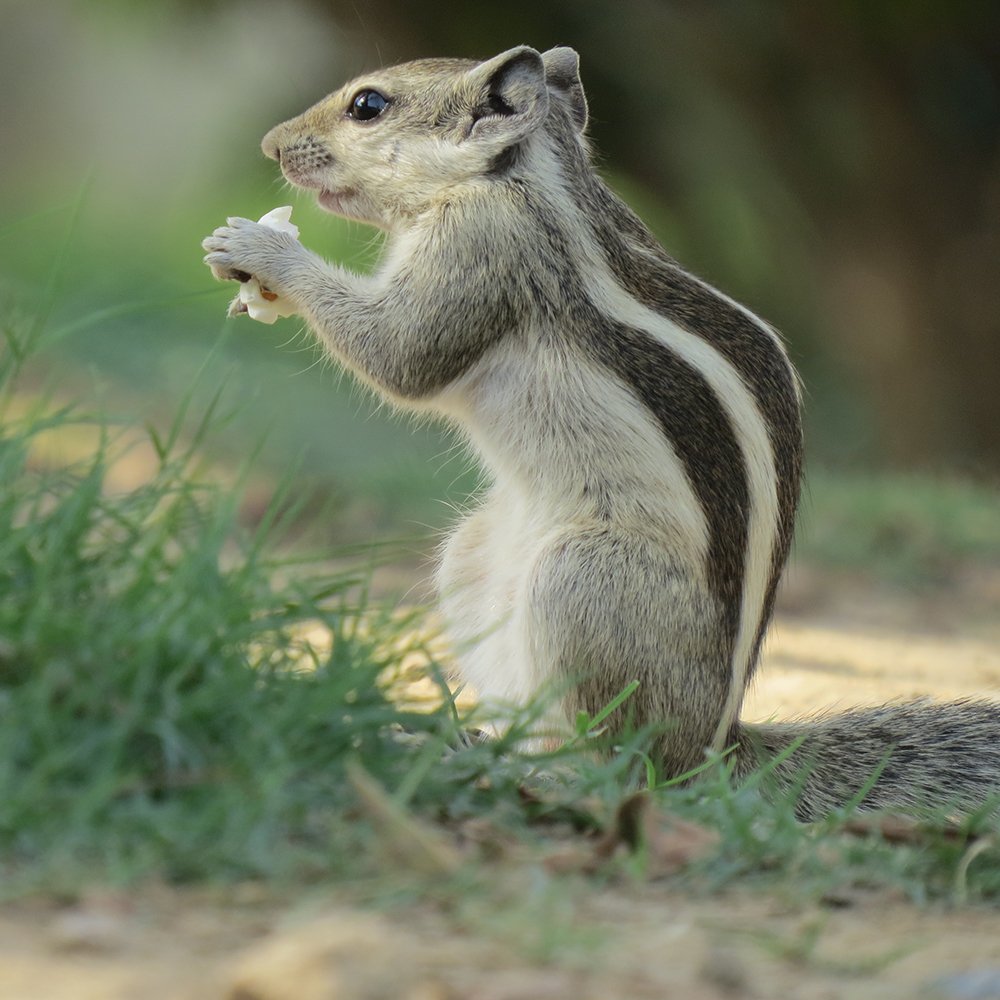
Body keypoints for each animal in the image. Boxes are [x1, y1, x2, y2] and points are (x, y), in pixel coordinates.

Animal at [203, 45, 1000, 821]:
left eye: (368, 105)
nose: (272, 145)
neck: (530, 177)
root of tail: (717, 746)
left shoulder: (481, 249)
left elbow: (400, 356)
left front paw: (260, 249)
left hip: (585, 578)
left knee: (629, 768)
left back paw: (542, 777)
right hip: (473, 558)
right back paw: (469, 747)